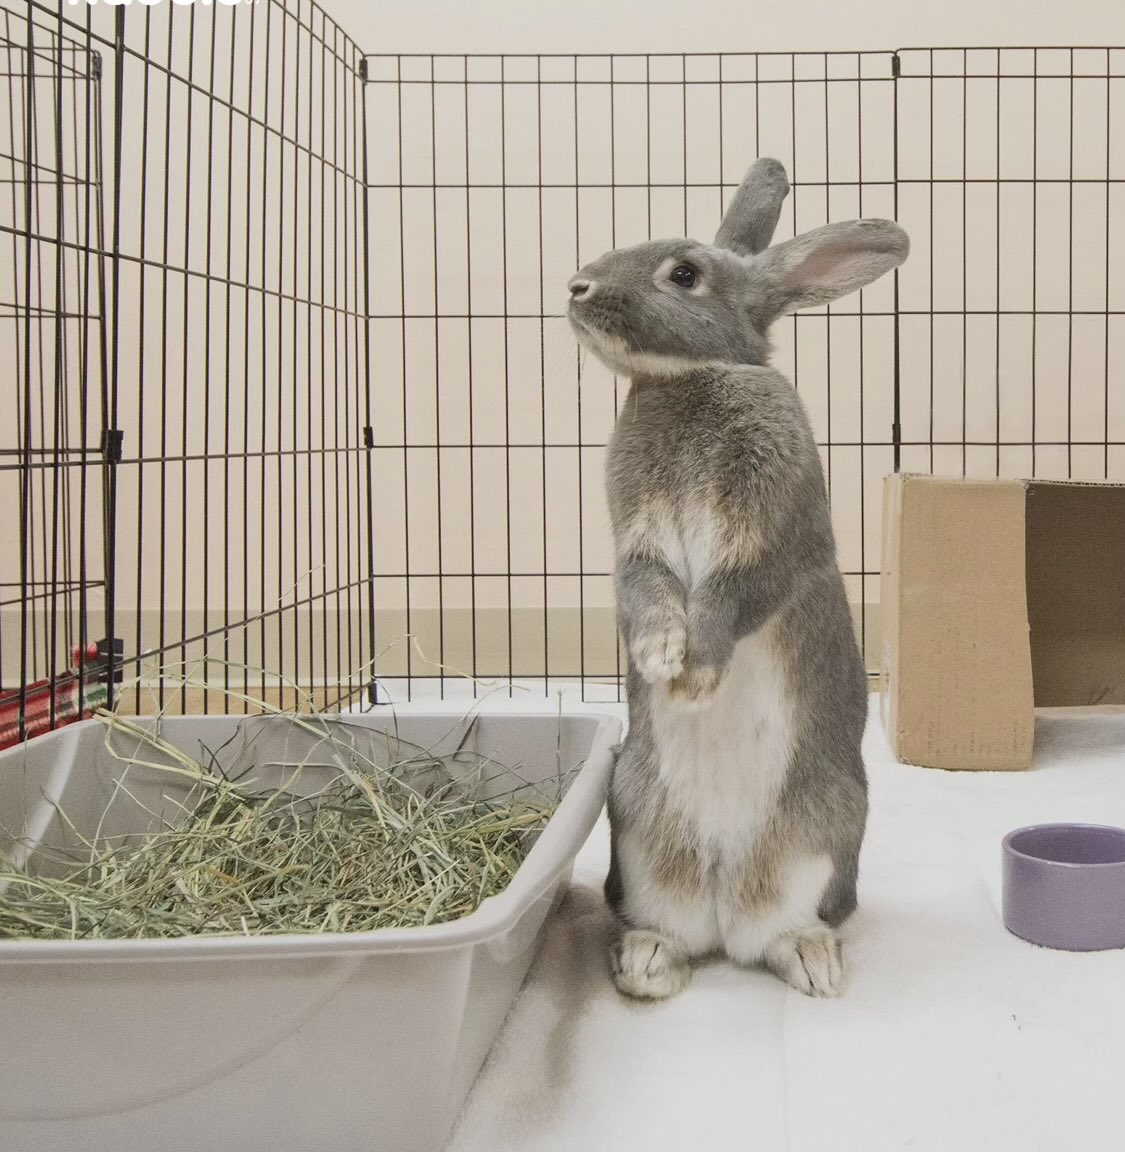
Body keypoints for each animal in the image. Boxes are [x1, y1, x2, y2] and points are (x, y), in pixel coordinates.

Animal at [566, 157, 909, 1000]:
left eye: (685, 274)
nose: (577, 286)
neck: (690, 377)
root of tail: (722, 906)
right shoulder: (638, 545)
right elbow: (648, 593)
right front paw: (660, 657)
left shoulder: (773, 541)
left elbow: (729, 598)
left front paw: (693, 677)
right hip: (637, 835)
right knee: (672, 927)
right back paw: (647, 965)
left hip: (823, 841)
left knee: (780, 933)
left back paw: (815, 967)